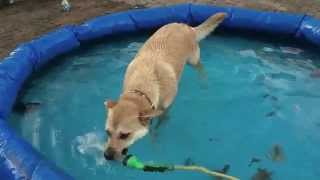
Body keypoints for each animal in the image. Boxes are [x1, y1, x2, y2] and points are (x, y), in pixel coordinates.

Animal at [104, 13, 226, 161]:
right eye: (108, 132)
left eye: (124, 135)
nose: (106, 156)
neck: (141, 88)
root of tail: (185, 26)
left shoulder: (164, 110)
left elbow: (158, 126)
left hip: (193, 60)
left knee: (200, 68)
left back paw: (204, 81)